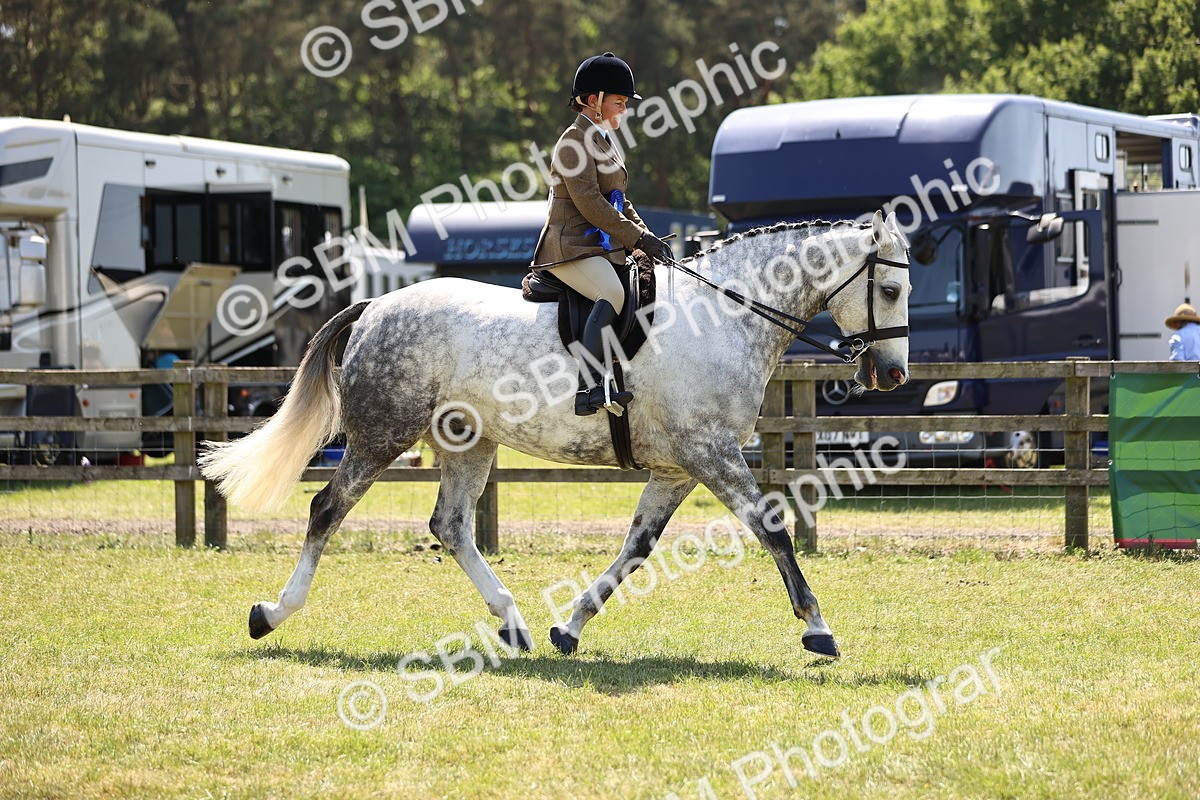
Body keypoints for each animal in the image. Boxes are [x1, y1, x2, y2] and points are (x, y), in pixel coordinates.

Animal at [199, 210, 911, 659]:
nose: (891, 373)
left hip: (468, 441)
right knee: (328, 508)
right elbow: (773, 529)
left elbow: (636, 548)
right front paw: (818, 630)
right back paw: (272, 614)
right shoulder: (711, 454)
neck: (726, 315)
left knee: (451, 526)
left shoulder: (677, 468)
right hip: (382, 434)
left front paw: (568, 628)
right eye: (891, 287)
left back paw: (513, 624)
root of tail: (376, 305)